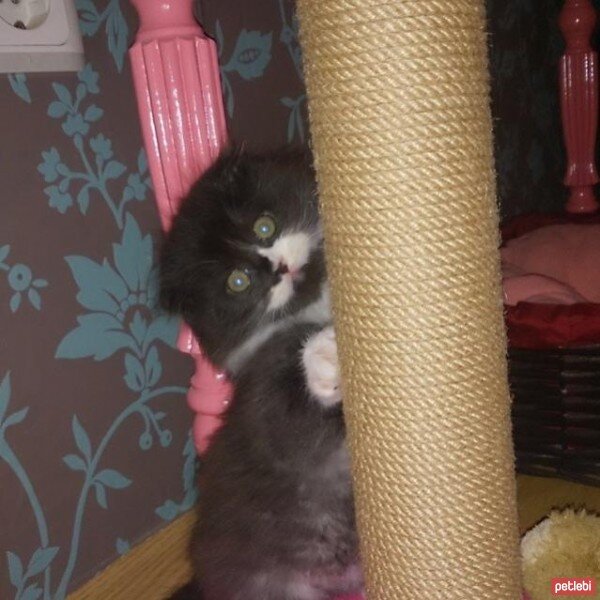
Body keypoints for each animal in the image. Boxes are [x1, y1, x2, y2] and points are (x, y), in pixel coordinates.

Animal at [157, 146, 360, 600]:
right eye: (239, 281)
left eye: (264, 226)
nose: (277, 268)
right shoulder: (264, 400)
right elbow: (290, 425)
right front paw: (324, 352)